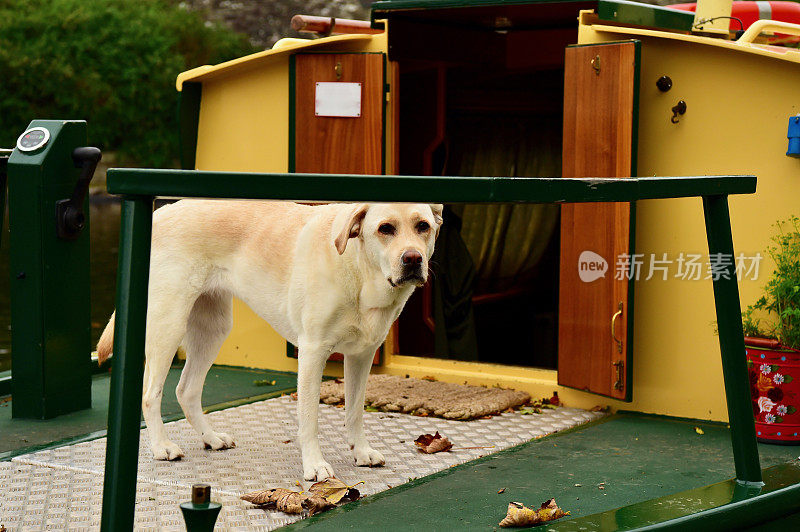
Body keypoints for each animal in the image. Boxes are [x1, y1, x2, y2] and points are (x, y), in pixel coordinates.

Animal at [97, 201, 444, 482]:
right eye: (385, 228)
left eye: (422, 226)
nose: (412, 259)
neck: (361, 272)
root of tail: (162, 212)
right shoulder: (313, 352)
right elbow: (309, 420)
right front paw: (314, 466)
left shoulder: (362, 355)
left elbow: (355, 411)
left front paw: (360, 451)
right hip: (168, 325)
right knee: (150, 394)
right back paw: (162, 447)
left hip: (213, 329)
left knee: (186, 390)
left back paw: (211, 438)